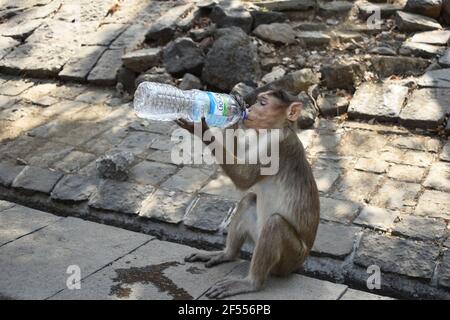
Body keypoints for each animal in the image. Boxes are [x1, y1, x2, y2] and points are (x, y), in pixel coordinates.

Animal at [175, 89, 320, 298]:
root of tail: (299, 264)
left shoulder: (277, 145)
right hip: (257, 235)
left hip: (290, 259)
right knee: (249, 200)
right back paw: (227, 254)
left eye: (262, 103)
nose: (249, 108)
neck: (272, 130)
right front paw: (233, 113)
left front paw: (202, 129)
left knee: (275, 223)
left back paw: (251, 283)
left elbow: (244, 179)